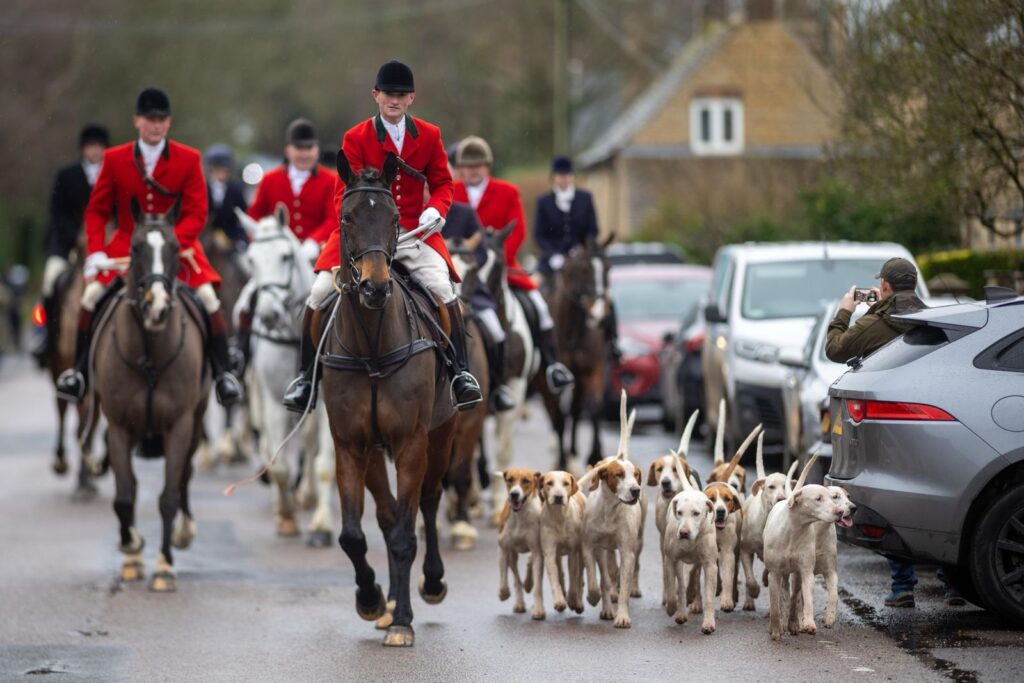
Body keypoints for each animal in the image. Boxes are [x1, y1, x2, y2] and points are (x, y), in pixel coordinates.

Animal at [92, 197, 209, 593]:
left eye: (174, 248)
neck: (149, 354)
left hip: (196, 424)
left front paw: (164, 566)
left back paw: (185, 532)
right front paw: (131, 549)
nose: (157, 307)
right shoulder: (117, 428)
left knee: (186, 476)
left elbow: (169, 496)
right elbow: (124, 497)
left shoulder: (179, 426)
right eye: (134, 248)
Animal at [234, 202, 331, 544]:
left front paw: (321, 525)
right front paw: (287, 516)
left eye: (286, 256)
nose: (269, 315)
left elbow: (324, 463)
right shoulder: (275, 399)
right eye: (251, 259)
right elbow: (279, 467)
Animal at [321, 153, 454, 647]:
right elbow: (353, 536)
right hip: (376, 452)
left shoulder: (412, 442)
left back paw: (427, 585)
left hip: (442, 434)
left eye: (397, 218)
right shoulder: (349, 444)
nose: (375, 288)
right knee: (388, 512)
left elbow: (404, 535)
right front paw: (373, 600)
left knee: (426, 505)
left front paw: (402, 621)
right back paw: (390, 603)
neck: (372, 343)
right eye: (347, 217)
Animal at [540, 236, 610, 471]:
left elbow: (595, 407)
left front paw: (595, 454)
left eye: (608, 268)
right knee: (556, 415)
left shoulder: (593, 369)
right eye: (585, 269)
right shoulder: (554, 380)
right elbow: (560, 418)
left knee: (576, 411)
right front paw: (561, 461)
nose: (599, 315)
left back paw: (572, 454)